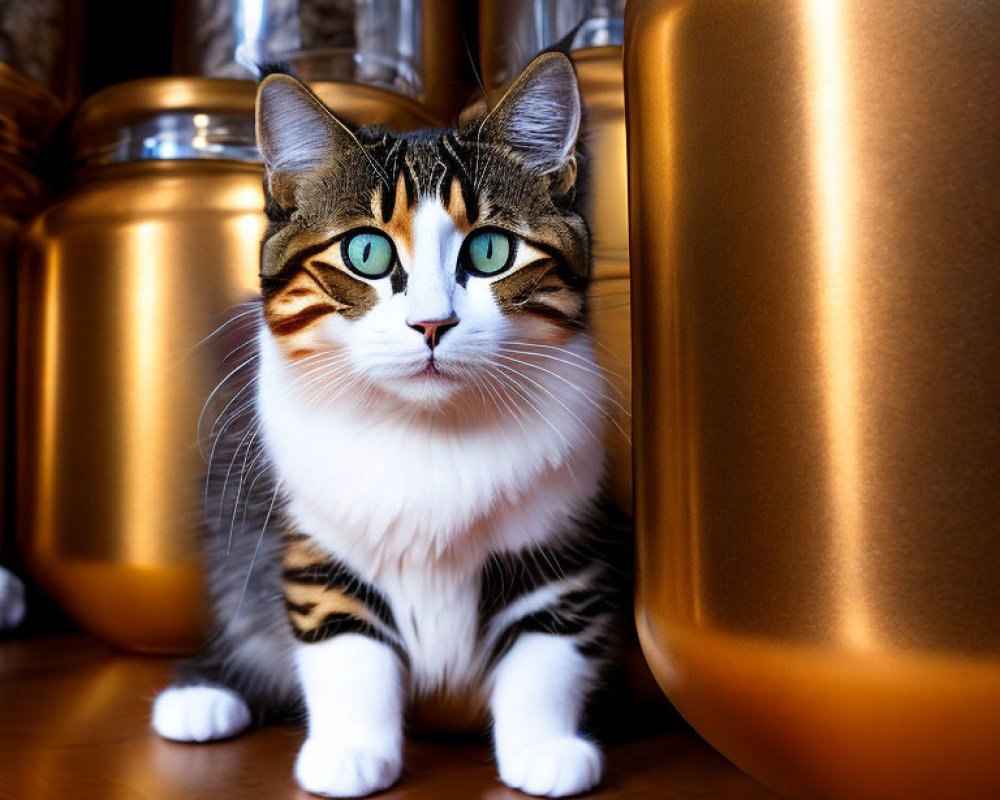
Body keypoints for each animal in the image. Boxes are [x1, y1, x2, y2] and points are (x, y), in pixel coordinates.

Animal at [150, 53, 624, 796]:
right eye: (367, 254)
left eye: (491, 252)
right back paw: (205, 694)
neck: (427, 427)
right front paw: (351, 750)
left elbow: (546, 654)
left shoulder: (561, 540)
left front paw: (543, 747)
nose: (431, 324)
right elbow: (346, 652)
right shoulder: (317, 544)